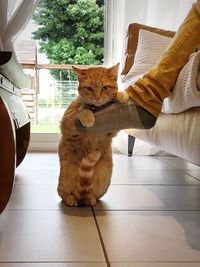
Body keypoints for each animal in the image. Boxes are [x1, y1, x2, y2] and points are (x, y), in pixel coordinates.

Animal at [57, 63, 129, 207]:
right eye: (89, 88)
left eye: (105, 87)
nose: (97, 98)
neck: (97, 109)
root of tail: (81, 196)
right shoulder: (67, 122)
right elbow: (82, 109)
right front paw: (87, 115)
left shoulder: (111, 131)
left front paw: (121, 95)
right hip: (65, 179)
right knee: (64, 193)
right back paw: (71, 199)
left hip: (104, 180)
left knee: (91, 195)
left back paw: (90, 199)